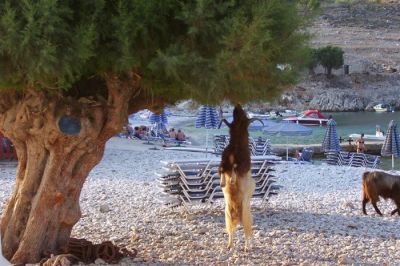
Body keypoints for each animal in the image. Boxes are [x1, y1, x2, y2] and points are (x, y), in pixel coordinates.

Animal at [219, 104, 262, 251]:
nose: (237, 106)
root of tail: (237, 216)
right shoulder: (240, 163)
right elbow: (233, 168)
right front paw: (229, 180)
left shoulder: (225, 160)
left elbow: (224, 168)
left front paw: (225, 181)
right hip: (246, 216)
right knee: (247, 232)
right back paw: (247, 247)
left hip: (230, 216)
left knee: (234, 231)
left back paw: (231, 245)